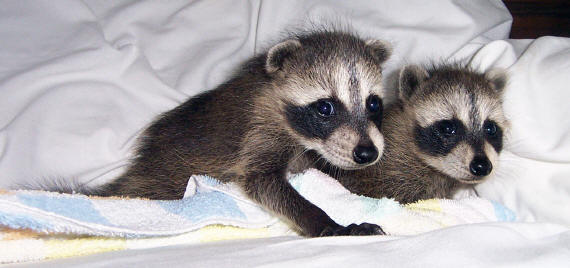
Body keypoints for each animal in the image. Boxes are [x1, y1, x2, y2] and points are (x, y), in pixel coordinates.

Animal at [97, 31, 390, 237]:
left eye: (373, 103)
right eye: (325, 107)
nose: (367, 153)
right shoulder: (260, 129)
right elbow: (261, 181)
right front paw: (324, 221)